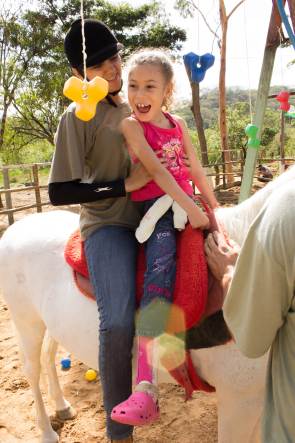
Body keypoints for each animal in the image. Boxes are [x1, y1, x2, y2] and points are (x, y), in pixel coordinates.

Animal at [0, 166, 294, 443]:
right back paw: (47, 431)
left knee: (48, 356)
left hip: (50, 322)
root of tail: (15, 229)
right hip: (26, 322)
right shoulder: (239, 401)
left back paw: (62, 406)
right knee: (32, 369)